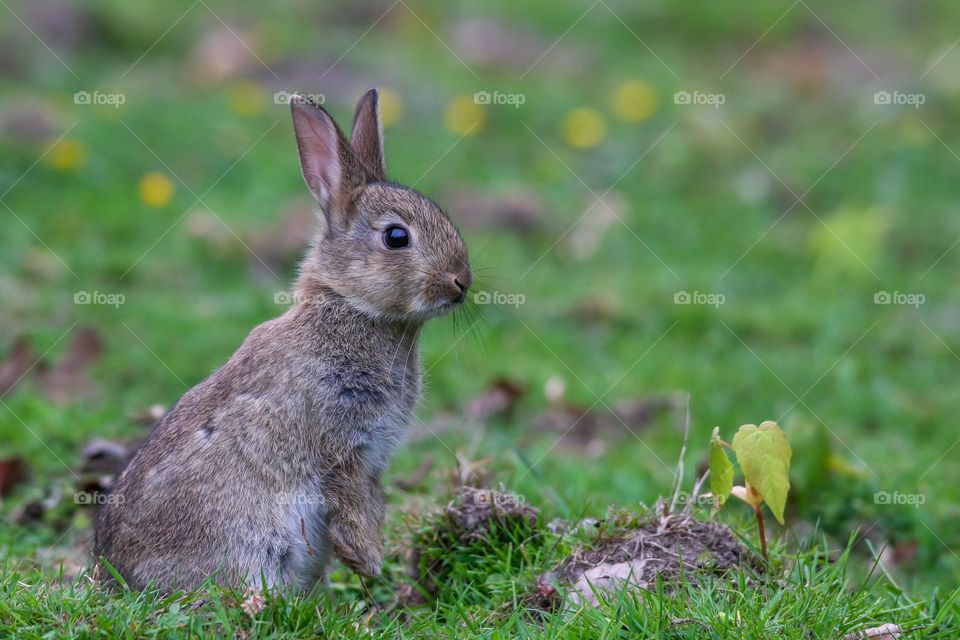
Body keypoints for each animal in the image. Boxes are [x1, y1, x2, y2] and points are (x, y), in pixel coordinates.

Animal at [94, 89, 472, 592]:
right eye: (396, 236)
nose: (461, 283)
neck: (350, 307)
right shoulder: (339, 450)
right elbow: (351, 505)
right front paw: (367, 562)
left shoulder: (371, 458)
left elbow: (372, 502)